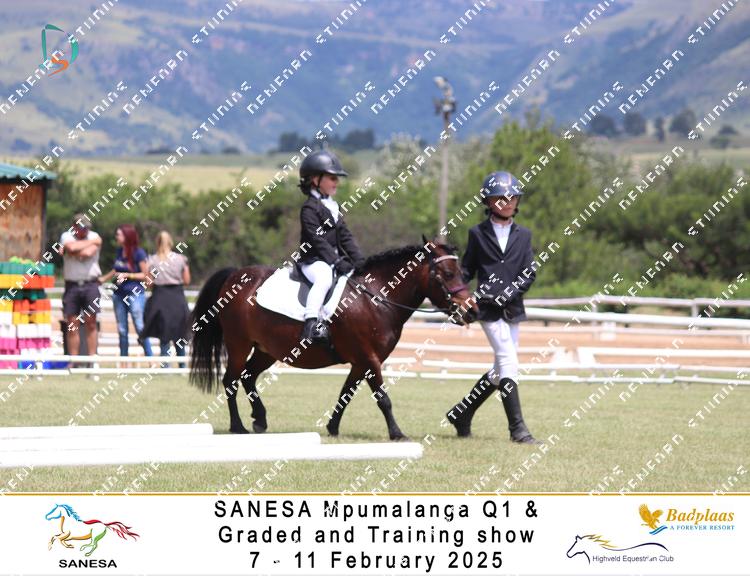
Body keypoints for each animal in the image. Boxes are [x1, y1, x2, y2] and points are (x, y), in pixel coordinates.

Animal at [189, 238, 476, 441]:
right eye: (448, 274)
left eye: (462, 272)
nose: (472, 311)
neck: (375, 297)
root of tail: (235, 275)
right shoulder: (369, 358)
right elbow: (383, 398)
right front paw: (397, 433)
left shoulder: (361, 362)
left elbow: (345, 394)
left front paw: (333, 427)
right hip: (239, 344)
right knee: (231, 380)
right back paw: (238, 426)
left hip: (267, 349)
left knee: (248, 375)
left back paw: (260, 419)